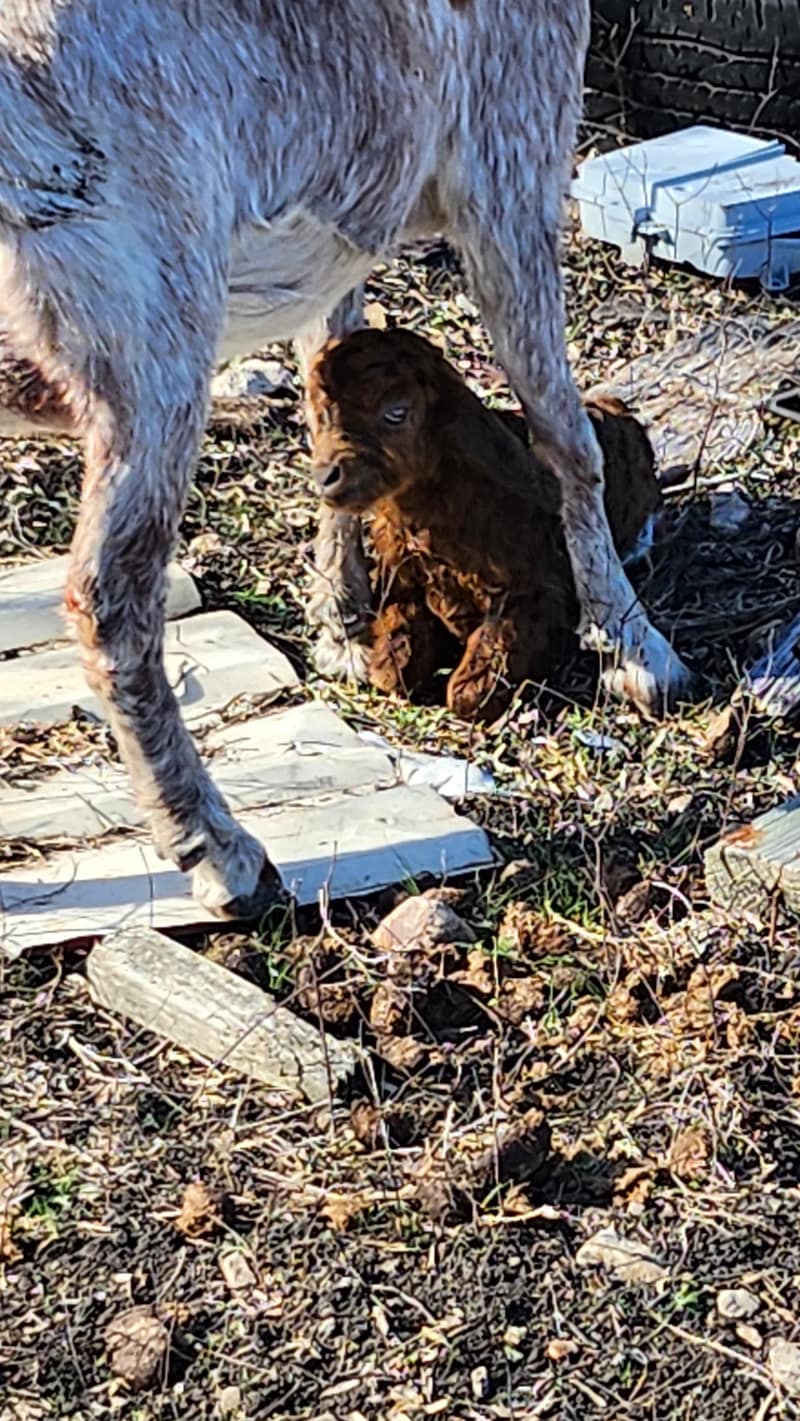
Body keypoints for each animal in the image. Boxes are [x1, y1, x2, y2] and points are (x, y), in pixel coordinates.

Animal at [307, 329, 659, 720]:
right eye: (322, 413)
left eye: (396, 413)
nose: (326, 477)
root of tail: (617, 409)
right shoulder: (396, 576)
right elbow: (393, 665)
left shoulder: (537, 593)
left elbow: (474, 681)